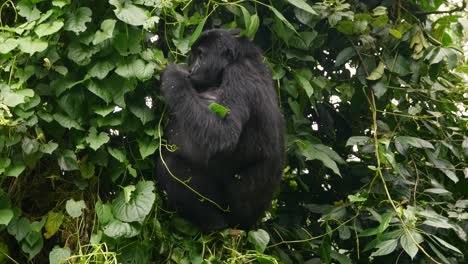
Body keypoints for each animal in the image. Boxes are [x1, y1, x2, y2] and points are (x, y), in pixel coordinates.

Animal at [157, 28, 284, 230]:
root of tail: (249, 224)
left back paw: (214, 224)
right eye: (193, 57)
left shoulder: (239, 75)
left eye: (201, 55)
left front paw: (175, 76)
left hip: (231, 215)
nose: (192, 70)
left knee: (170, 166)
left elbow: (223, 136)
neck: (242, 58)